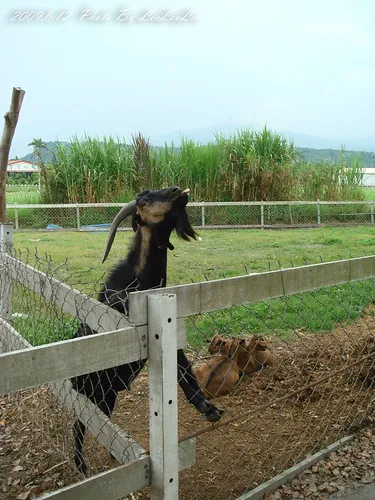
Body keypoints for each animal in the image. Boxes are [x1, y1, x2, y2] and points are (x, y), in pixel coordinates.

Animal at [71, 187, 223, 472]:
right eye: (143, 201)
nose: (176, 190)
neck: (139, 285)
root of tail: (71, 380)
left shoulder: (170, 333)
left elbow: (184, 368)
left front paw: (209, 408)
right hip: (93, 395)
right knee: (80, 426)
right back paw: (81, 466)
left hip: (107, 396)